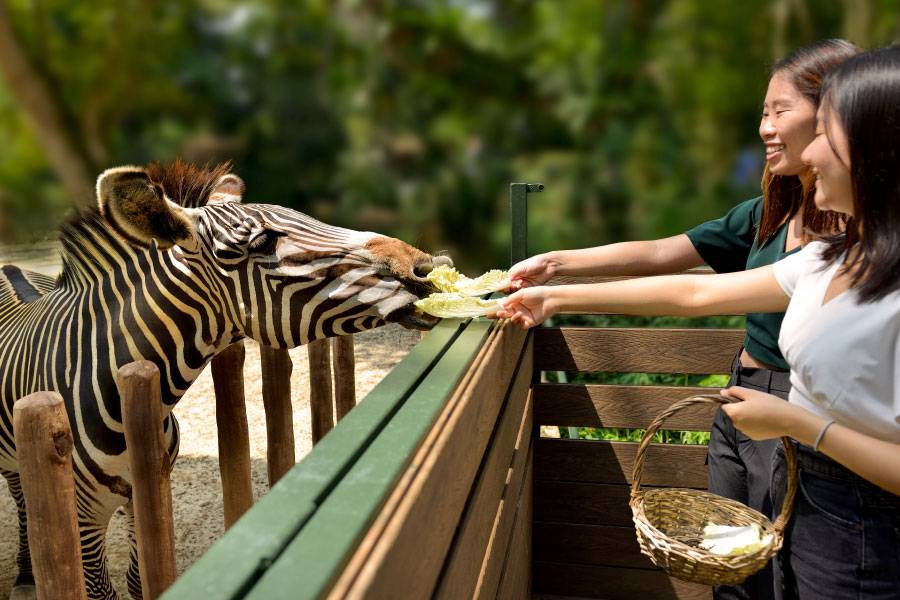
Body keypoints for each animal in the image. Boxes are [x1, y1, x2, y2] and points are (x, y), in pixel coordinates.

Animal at [0, 161, 450, 600]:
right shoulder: (81, 518)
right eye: (262, 243)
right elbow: (101, 591)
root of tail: (9, 265)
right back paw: (25, 573)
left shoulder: (147, 490)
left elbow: (140, 581)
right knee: (20, 494)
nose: (427, 268)